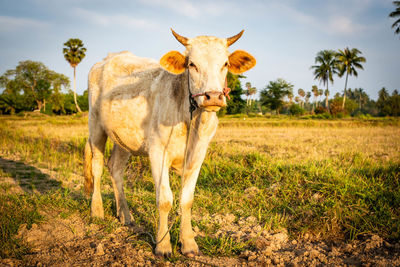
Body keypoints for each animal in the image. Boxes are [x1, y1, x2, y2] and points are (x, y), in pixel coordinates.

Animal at [84, 29, 256, 258]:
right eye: (192, 64)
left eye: (225, 64)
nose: (213, 96)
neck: (190, 117)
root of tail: (108, 58)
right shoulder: (158, 152)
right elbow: (165, 199)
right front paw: (163, 245)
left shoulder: (197, 155)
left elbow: (187, 199)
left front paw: (189, 243)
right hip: (95, 126)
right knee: (97, 167)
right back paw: (97, 211)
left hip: (123, 139)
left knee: (116, 169)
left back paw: (125, 215)